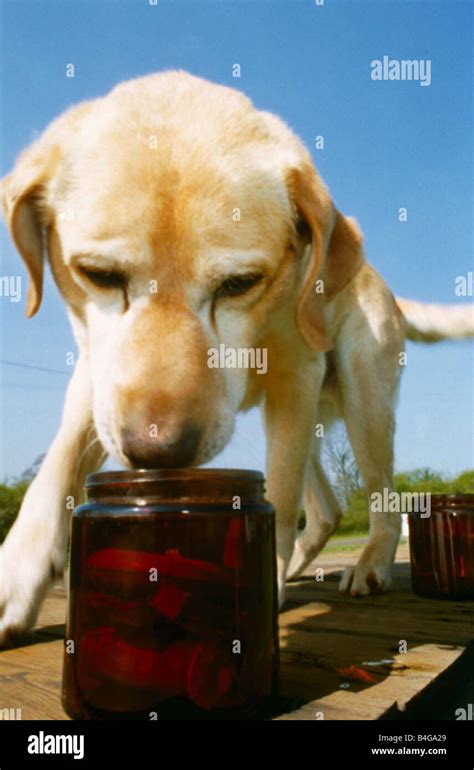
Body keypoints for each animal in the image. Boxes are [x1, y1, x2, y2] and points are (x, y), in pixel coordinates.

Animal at [0, 72, 474, 640]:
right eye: (99, 274)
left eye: (240, 283)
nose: (159, 453)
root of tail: (378, 280)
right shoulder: (98, 373)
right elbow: (57, 468)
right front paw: (16, 576)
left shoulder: (295, 374)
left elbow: (281, 495)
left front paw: (261, 585)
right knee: (328, 508)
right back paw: (302, 567)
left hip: (362, 399)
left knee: (381, 496)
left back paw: (370, 564)